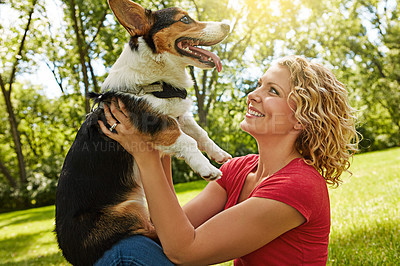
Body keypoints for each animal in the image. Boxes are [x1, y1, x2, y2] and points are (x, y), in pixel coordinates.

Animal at [55, 0, 231, 264]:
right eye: (185, 19)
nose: (227, 24)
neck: (156, 81)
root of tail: (72, 255)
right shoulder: (157, 122)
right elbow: (186, 140)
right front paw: (206, 168)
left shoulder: (179, 115)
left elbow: (201, 134)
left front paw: (219, 155)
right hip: (131, 209)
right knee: (147, 231)